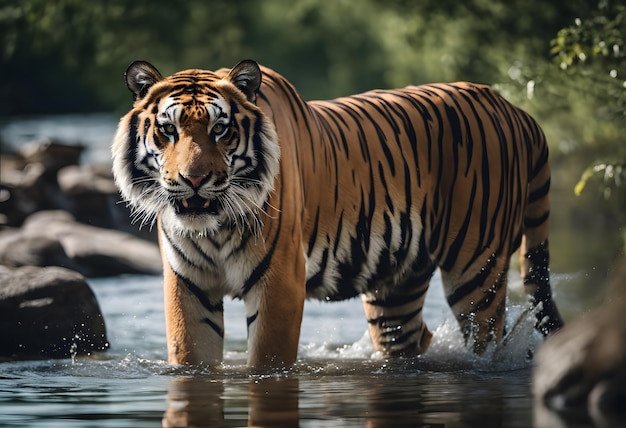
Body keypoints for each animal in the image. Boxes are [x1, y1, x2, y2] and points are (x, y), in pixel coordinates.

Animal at [109, 59, 564, 368]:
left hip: (477, 269)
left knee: (489, 341)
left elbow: (266, 362)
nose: (194, 179)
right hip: (396, 288)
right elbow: (191, 358)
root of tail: (516, 109)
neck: (214, 228)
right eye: (168, 130)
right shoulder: (188, 284)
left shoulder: (280, 281)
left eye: (220, 130)